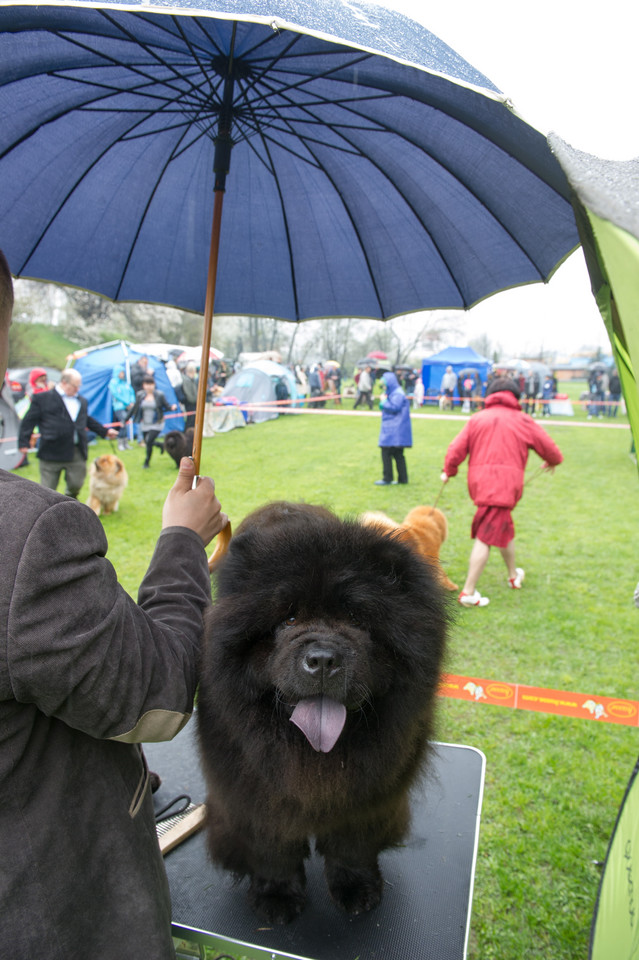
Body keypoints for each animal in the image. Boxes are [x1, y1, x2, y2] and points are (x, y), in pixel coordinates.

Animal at [198, 498, 448, 928]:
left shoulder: (369, 797)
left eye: (357, 620)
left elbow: (352, 848)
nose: (322, 659)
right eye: (288, 619)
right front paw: (277, 896)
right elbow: (272, 851)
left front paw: (356, 890)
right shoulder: (253, 799)